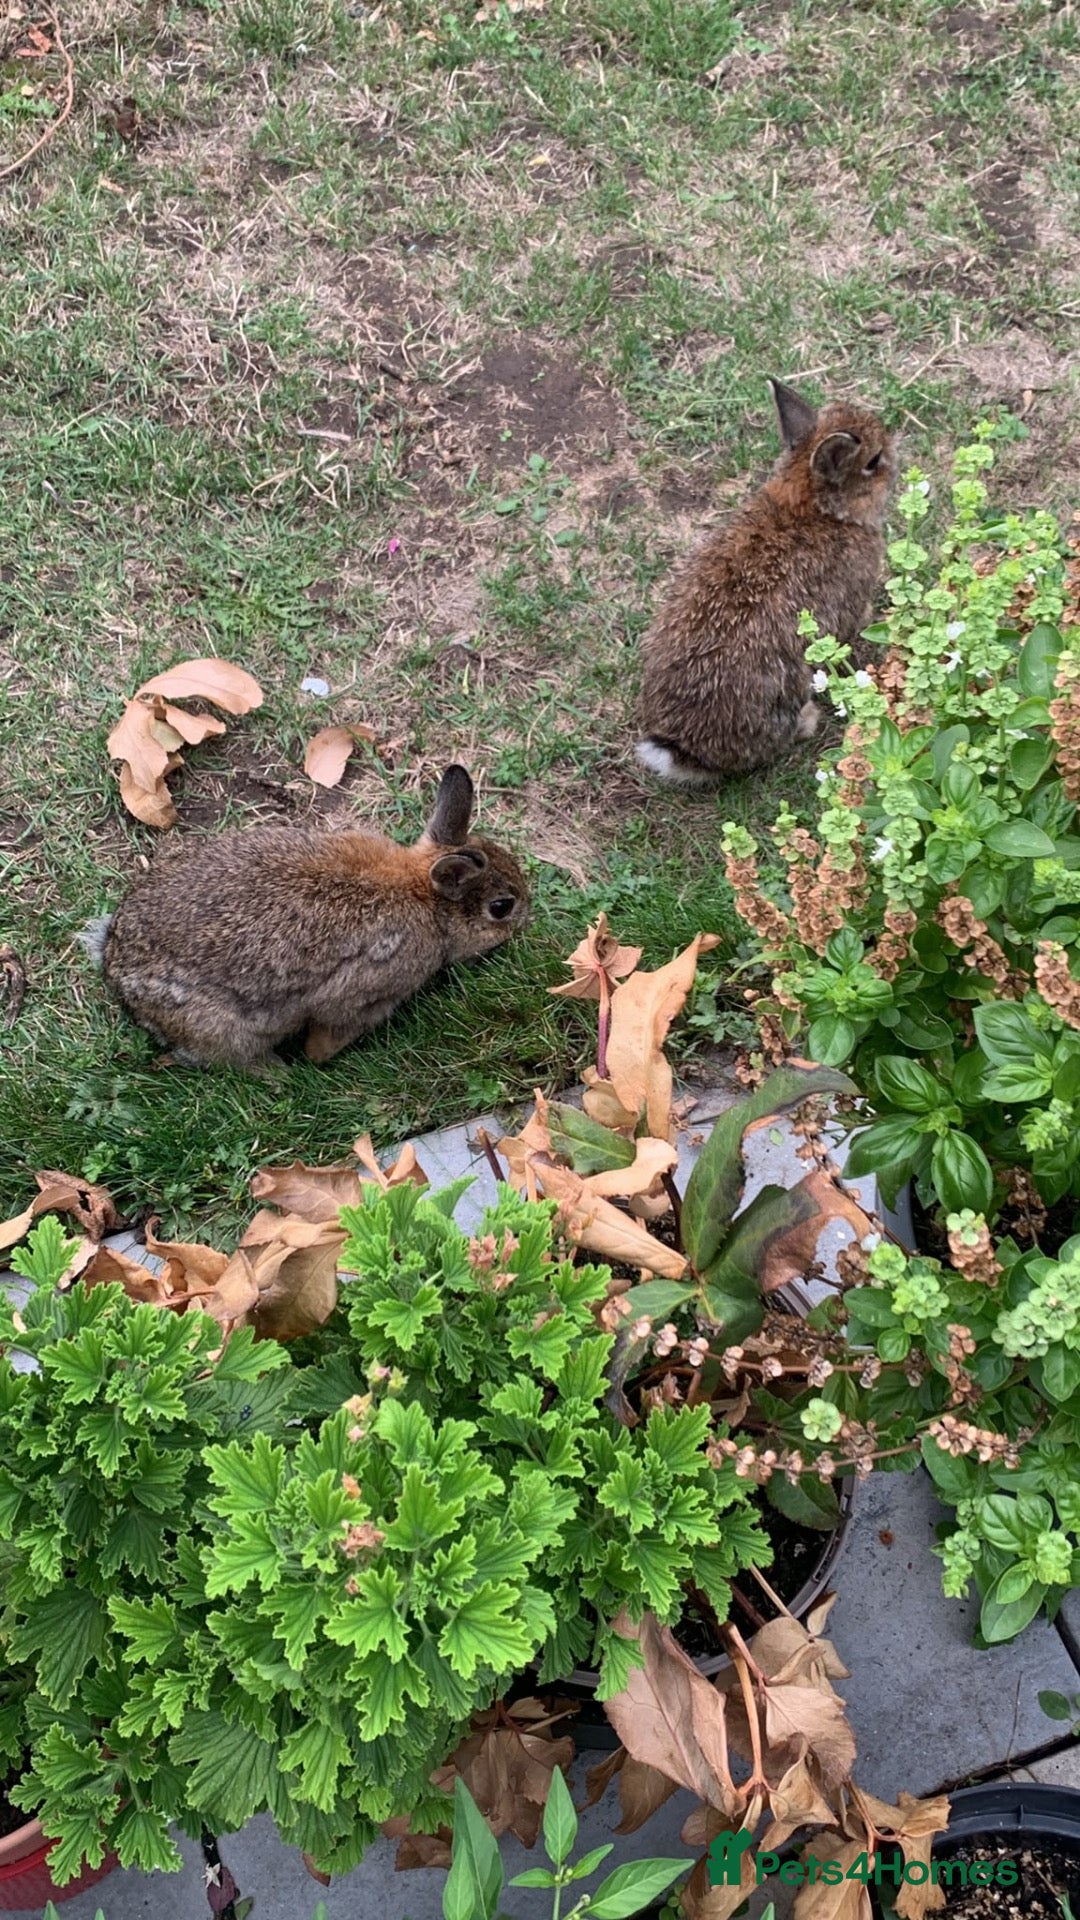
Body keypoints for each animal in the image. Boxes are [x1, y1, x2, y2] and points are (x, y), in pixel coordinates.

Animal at [82, 766, 529, 1070]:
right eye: (501, 907)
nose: (525, 919)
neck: (426, 898)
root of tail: (116, 972)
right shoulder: (362, 994)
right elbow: (329, 1030)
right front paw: (316, 1059)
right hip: (221, 1028)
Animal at [636, 378, 897, 784]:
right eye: (872, 462)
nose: (896, 466)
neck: (816, 509)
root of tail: (685, 752)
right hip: (786, 686)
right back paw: (808, 720)